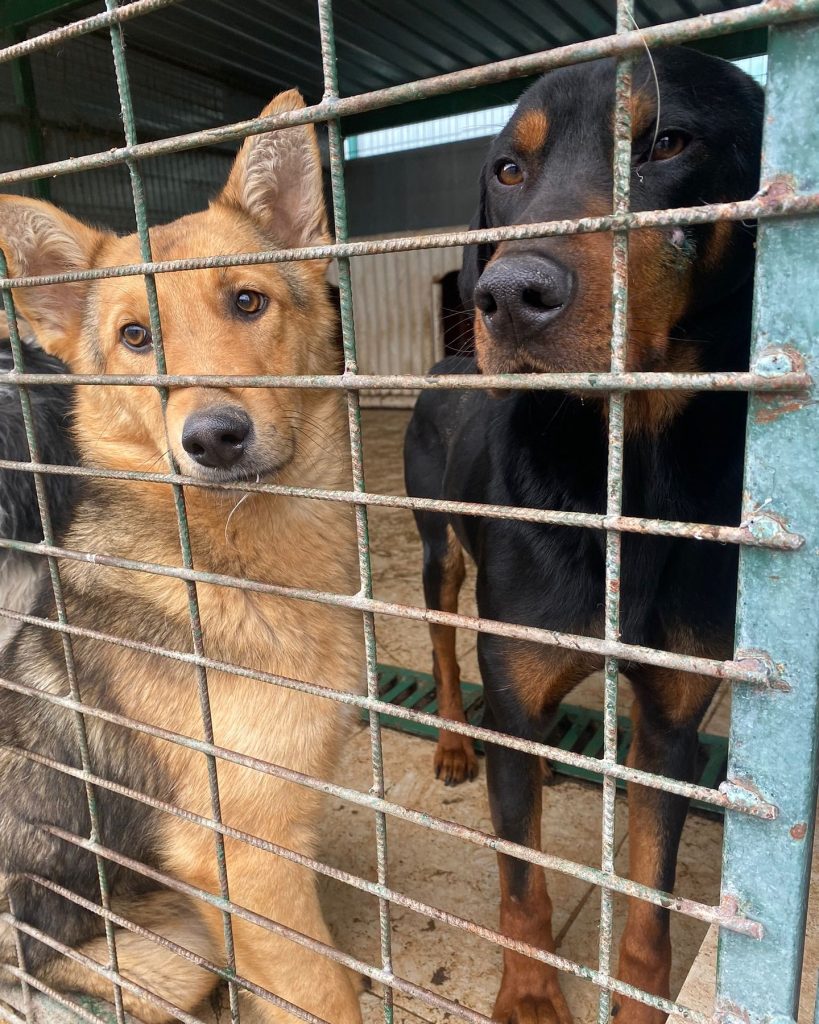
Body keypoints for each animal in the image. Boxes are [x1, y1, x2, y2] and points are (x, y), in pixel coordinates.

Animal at [0, 88, 362, 1024]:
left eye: (247, 302)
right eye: (135, 336)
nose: (213, 436)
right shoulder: (242, 854)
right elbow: (323, 990)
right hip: (165, 957)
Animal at [405, 48, 765, 1024]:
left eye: (667, 143)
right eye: (506, 170)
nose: (506, 297)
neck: (621, 470)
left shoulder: (673, 728)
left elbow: (648, 905)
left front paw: (640, 999)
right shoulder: (515, 690)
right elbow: (520, 885)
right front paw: (531, 996)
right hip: (436, 551)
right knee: (444, 645)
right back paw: (452, 741)